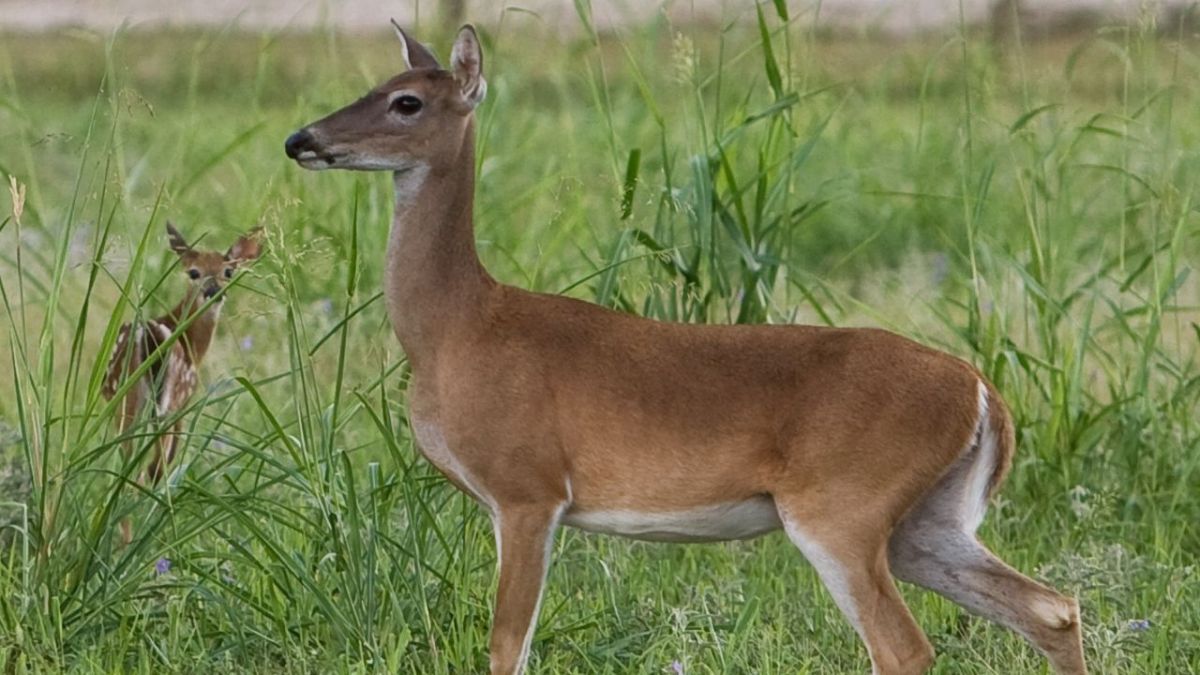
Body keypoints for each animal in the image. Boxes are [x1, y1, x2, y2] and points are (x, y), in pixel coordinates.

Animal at [104, 223, 264, 538]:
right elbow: (162, 465)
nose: (213, 292)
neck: (192, 343)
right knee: (149, 470)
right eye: (193, 272)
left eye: (228, 271)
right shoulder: (183, 403)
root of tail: (147, 335)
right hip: (164, 404)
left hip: (124, 401)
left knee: (127, 471)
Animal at [280, 23, 1089, 672]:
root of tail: (982, 391)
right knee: (1050, 607)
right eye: (372, 85)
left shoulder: (528, 487)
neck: (457, 326)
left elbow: (508, 645)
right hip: (925, 520)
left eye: (406, 102)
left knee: (906, 646)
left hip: (844, 505)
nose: (301, 140)